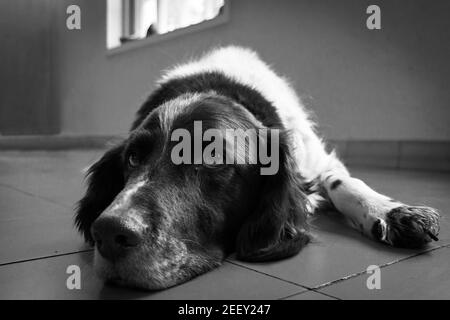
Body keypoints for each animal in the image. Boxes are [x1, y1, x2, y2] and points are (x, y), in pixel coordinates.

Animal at [74, 45, 440, 290]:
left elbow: (345, 184)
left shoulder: (317, 160)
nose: (109, 232)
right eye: (133, 158)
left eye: (212, 157)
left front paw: (394, 213)